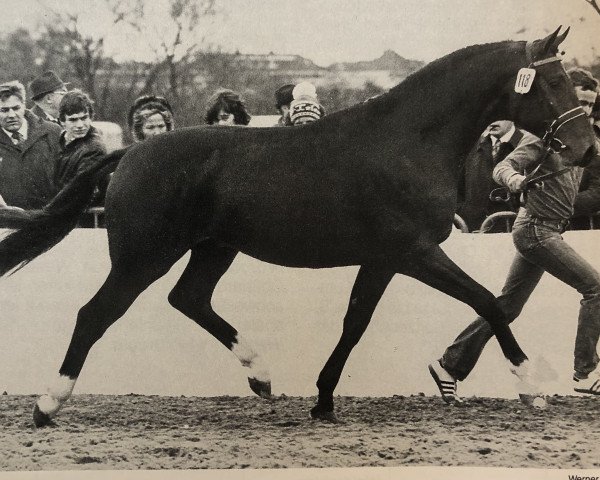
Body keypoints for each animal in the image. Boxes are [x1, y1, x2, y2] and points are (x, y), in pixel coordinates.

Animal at [0, 28, 596, 426]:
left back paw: (260, 374)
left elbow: (355, 323)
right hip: (143, 255)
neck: (410, 141)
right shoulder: (415, 252)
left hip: (213, 248)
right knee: (95, 314)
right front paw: (531, 386)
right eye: (554, 80)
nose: (586, 148)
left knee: (188, 298)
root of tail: (129, 153)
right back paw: (48, 404)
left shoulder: (383, 259)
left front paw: (324, 401)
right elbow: (487, 302)